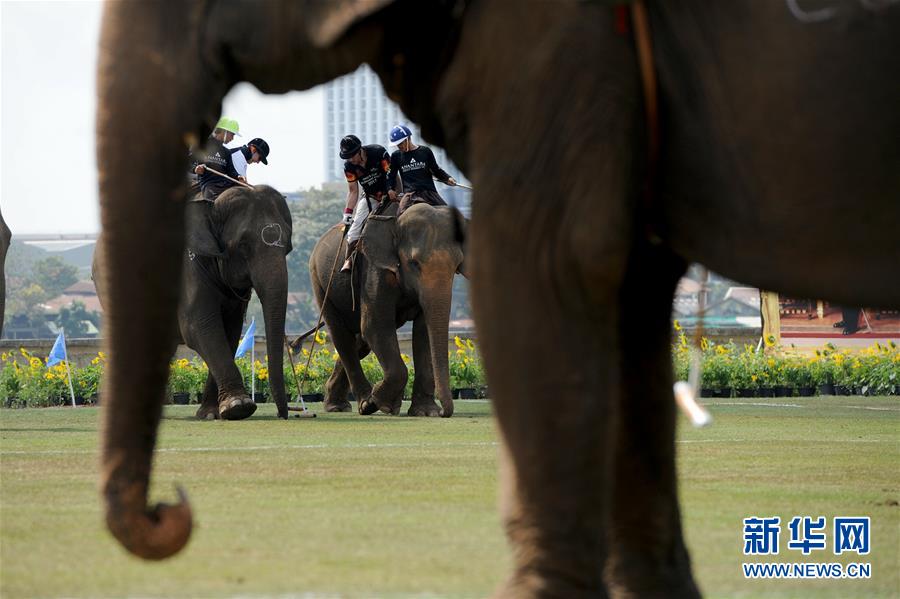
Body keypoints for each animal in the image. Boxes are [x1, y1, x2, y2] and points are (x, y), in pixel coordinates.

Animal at [91, 186, 290, 422]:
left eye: (288, 246)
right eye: (243, 245)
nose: (283, 414)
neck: (212, 205)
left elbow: (229, 331)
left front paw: (212, 414)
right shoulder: (187, 265)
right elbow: (199, 326)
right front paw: (239, 407)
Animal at [302, 202, 468, 418]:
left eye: (457, 265)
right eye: (414, 263)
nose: (442, 412)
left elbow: (423, 332)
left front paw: (425, 412)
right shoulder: (375, 269)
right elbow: (376, 326)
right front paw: (376, 402)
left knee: (360, 342)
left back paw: (341, 404)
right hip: (321, 283)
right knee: (342, 336)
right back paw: (361, 404)